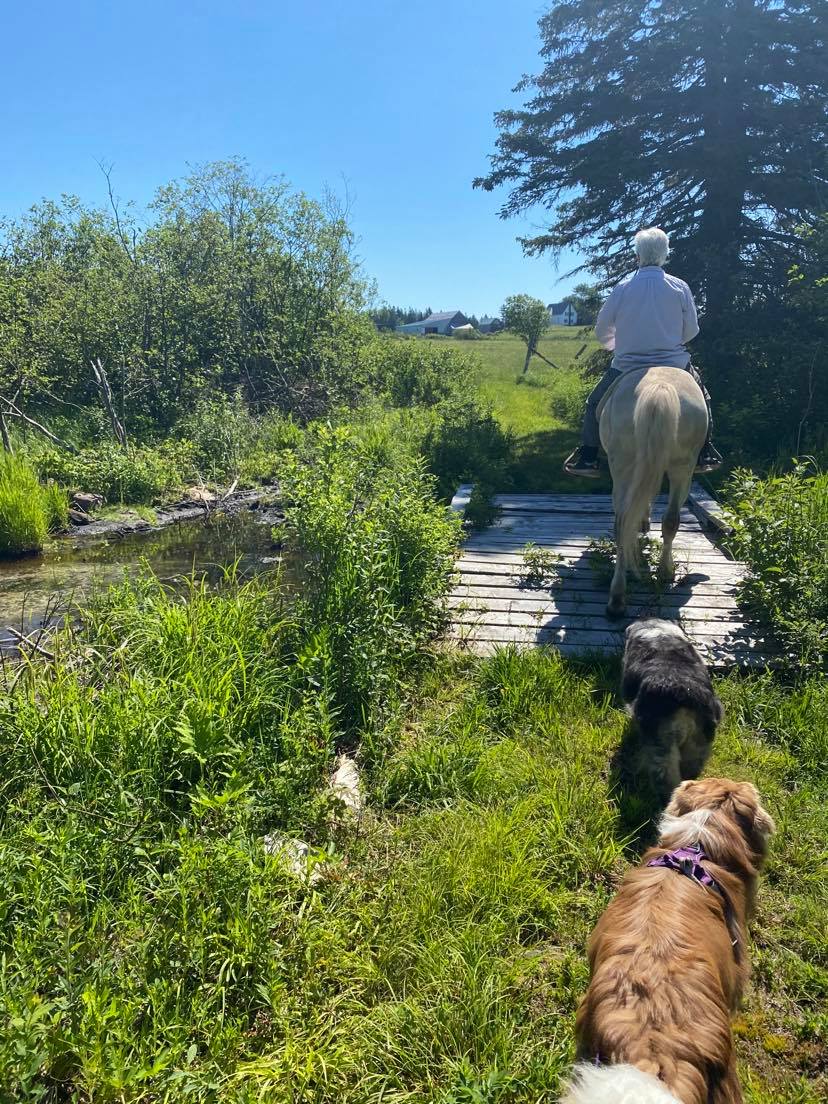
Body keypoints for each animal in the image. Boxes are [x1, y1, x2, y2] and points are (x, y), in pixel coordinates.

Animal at [600, 366, 710, 618]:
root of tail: (660, 387)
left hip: (625, 466)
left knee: (624, 523)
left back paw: (618, 596)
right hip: (681, 468)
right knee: (667, 520)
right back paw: (661, 574)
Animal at [618, 618, 724, 799]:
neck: (656, 629)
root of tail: (684, 693)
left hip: (662, 741)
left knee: (664, 772)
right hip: (700, 740)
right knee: (692, 765)